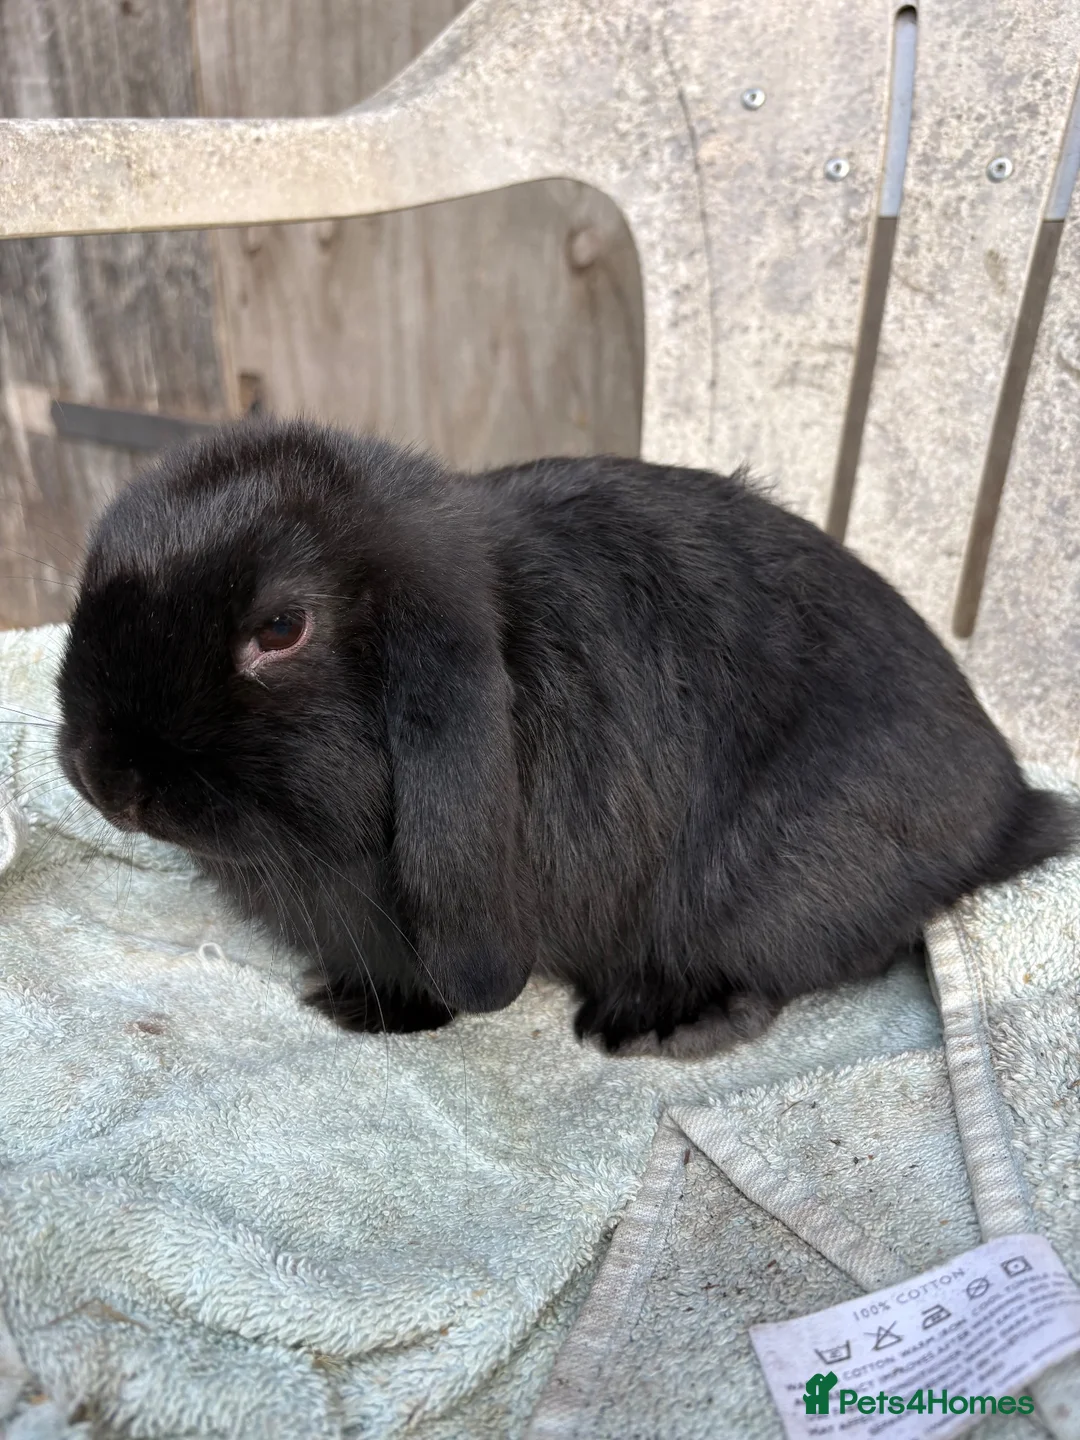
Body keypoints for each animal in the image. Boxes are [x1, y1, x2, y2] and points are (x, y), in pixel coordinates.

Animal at [55, 418, 1076, 1057]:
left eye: (279, 629)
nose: (107, 779)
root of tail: (1006, 808)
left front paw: (373, 1019)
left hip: (762, 889)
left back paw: (655, 1025)